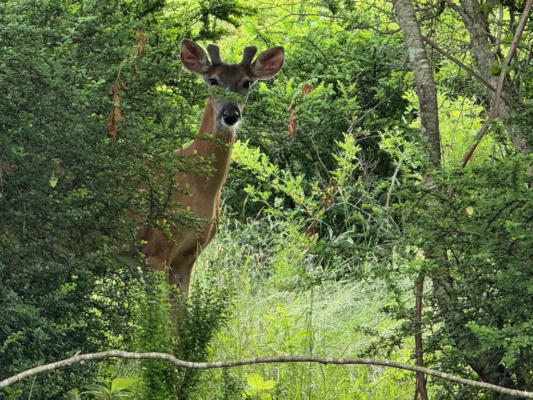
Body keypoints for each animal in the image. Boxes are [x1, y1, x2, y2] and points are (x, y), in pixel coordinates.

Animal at [137, 39, 284, 296]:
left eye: (247, 82)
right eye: (213, 80)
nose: (231, 114)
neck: (198, 185)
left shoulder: (188, 257)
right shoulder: (155, 248)